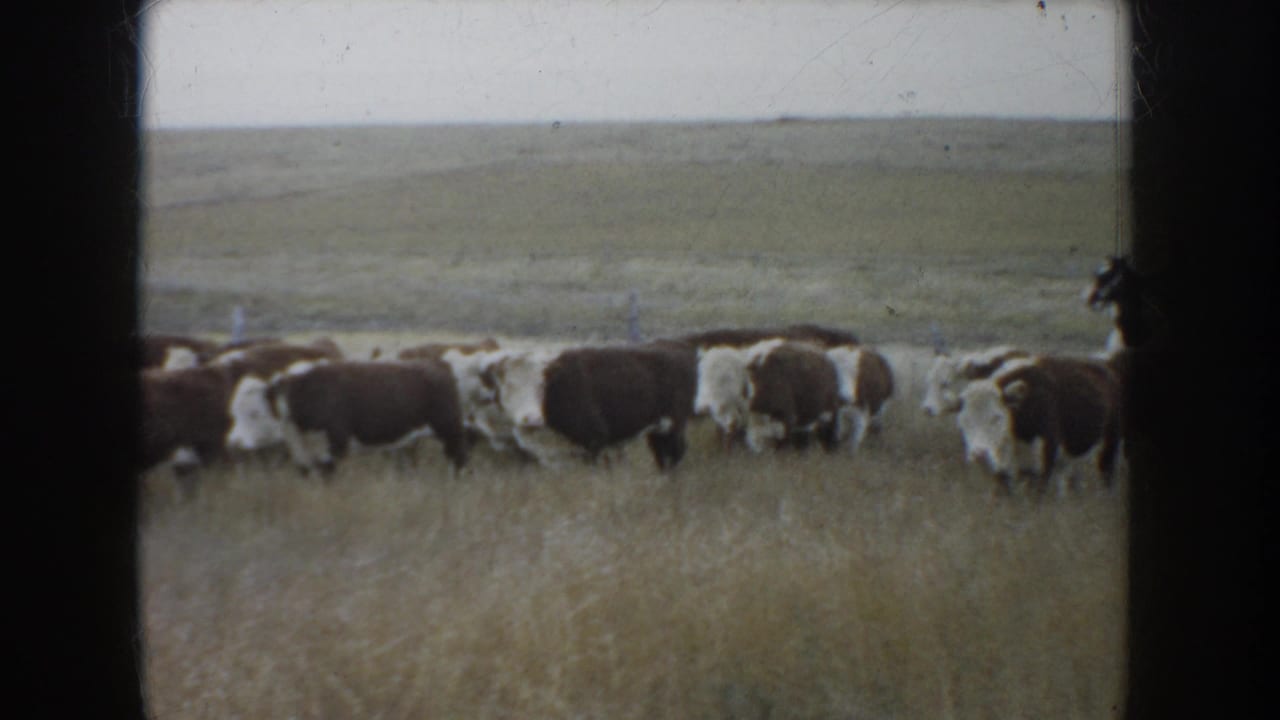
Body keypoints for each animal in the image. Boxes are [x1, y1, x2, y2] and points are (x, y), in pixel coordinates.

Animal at [232, 360, 469, 478]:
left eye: (254, 412)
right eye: (234, 412)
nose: (235, 442)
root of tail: (439, 368)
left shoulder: (334, 445)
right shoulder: (303, 455)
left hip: (450, 430)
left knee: (459, 460)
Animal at [484, 343, 697, 470]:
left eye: (541, 386)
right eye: (509, 386)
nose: (532, 419)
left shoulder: (594, 439)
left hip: (674, 424)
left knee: (676, 452)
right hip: (657, 429)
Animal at [956, 355, 1122, 496]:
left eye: (996, 417)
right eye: (964, 421)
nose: (979, 454)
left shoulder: (1044, 461)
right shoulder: (1002, 471)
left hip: (1109, 445)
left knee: (1106, 474)